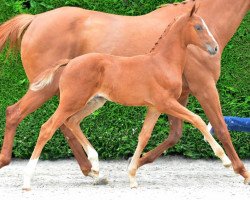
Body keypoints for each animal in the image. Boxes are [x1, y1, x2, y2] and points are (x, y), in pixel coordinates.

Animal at [0, 0, 250, 184]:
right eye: (198, 27)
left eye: (205, 26)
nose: (213, 48)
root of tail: (34, 19)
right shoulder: (203, 86)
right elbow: (218, 126)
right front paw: (239, 169)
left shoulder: (175, 97)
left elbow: (171, 134)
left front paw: (134, 164)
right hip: (48, 89)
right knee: (21, 115)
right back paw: (11, 164)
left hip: (82, 97)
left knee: (65, 123)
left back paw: (92, 171)